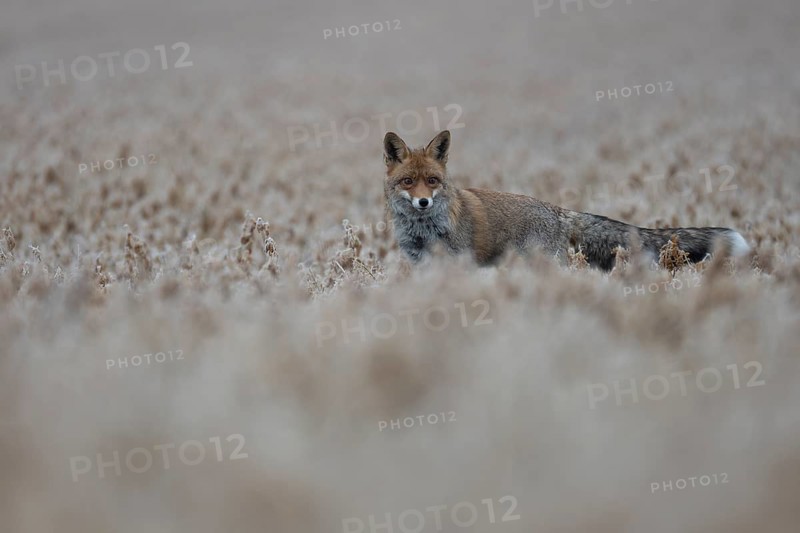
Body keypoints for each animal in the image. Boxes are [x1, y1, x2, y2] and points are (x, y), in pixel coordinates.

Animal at [383, 130, 750, 270]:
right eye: (408, 182)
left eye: (432, 181)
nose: (423, 203)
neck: (424, 230)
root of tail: (559, 211)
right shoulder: (420, 264)